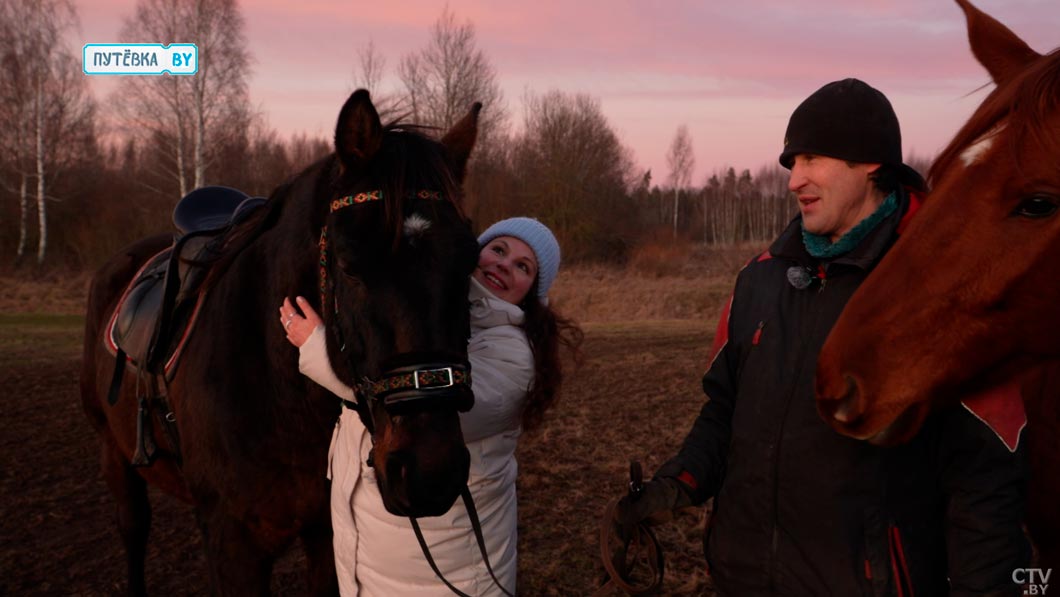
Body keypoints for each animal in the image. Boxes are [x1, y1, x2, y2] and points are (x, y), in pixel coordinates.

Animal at [79, 91, 485, 593]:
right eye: (349, 265)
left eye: (469, 262)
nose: (431, 472)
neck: (278, 393)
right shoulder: (234, 546)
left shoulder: (325, 534)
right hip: (114, 451)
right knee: (133, 528)